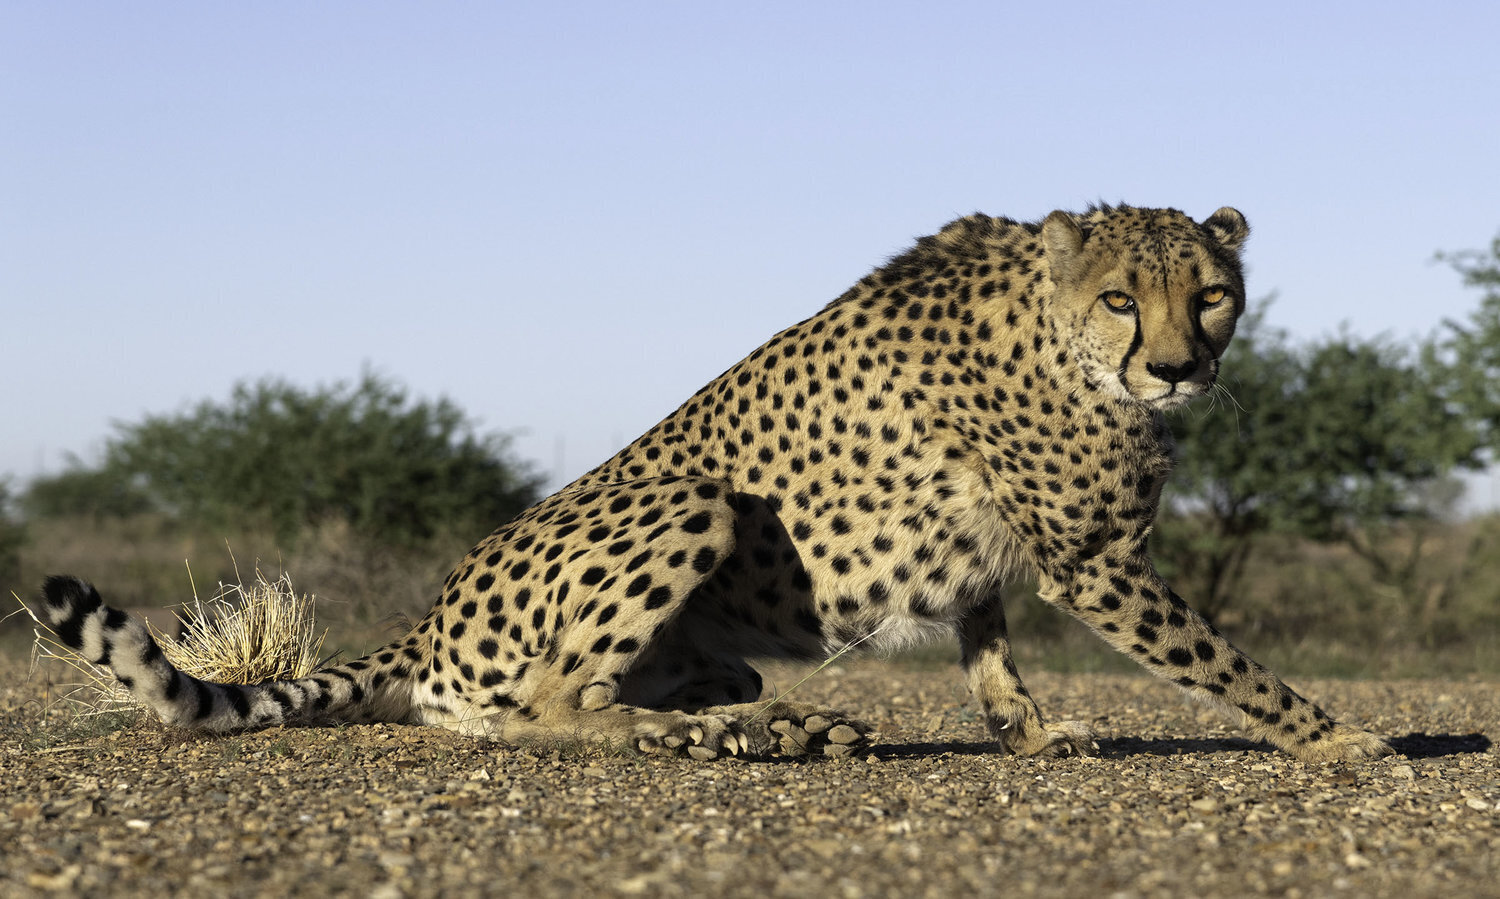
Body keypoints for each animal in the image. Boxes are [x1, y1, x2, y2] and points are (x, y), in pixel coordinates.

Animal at [38, 203, 1392, 763]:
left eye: (1210, 293)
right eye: (1124, 297)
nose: (1177, 366)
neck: (1056, 326)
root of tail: (425, 615)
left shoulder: (999, 553)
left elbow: (988, 635)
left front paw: (1027, 728)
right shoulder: (1098, 559)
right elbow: (1223, 661)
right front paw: (1338, 736)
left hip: (719, 631)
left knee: (685, 683)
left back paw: (781, 722)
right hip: (690, 503)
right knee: (546, 708)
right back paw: (705, 735)